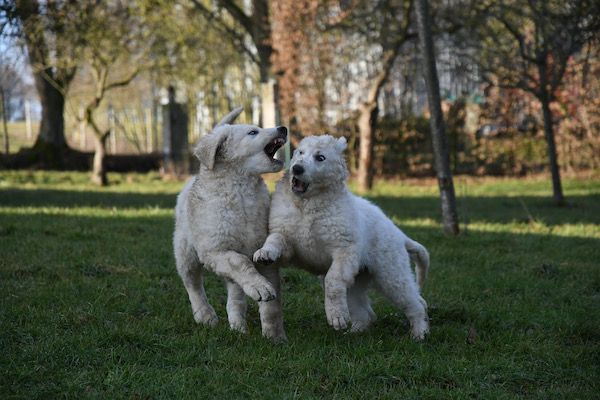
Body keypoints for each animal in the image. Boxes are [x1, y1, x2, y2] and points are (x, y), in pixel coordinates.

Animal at [173, 108, 288, 342]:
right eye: (253, 132)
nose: (283, 128)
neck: (241, 189)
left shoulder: (263, 256)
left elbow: (272, 307)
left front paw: (274, 337)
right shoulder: (216, 251)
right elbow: (240, 263)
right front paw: (260, 287)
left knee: (235, 295)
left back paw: (238, 326)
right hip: (185, 252)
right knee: (193, 284)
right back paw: (205, 316)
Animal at [253, 135, 432, 340]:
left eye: (320, 158)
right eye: (300, 153)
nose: (296, 168)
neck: (307, 205)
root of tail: (398, 233)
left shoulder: (344, 251)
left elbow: (333, 280)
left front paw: (336, 316)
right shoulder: (288, 240)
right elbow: (275, 239)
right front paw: (265, 253)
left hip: (390, 274)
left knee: (416, 303)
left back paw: (419, 333)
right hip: (358, 281)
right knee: (367, 313)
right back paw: (354, 332)